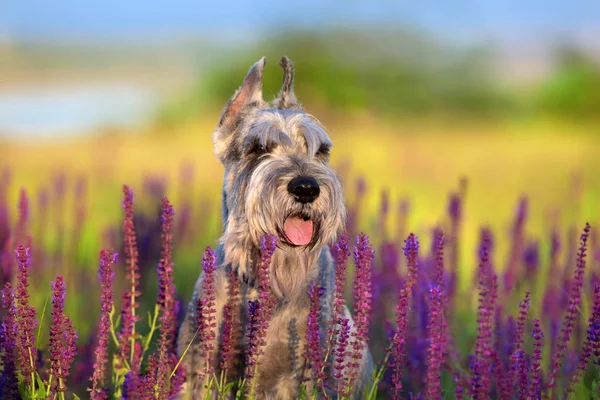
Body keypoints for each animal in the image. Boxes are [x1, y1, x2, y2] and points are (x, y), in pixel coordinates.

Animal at [176, 56, 372, 400]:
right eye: (258, 149)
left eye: (320, 151)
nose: (306, 188)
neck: (264, 282)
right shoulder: (199, 365)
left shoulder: (305, 374)